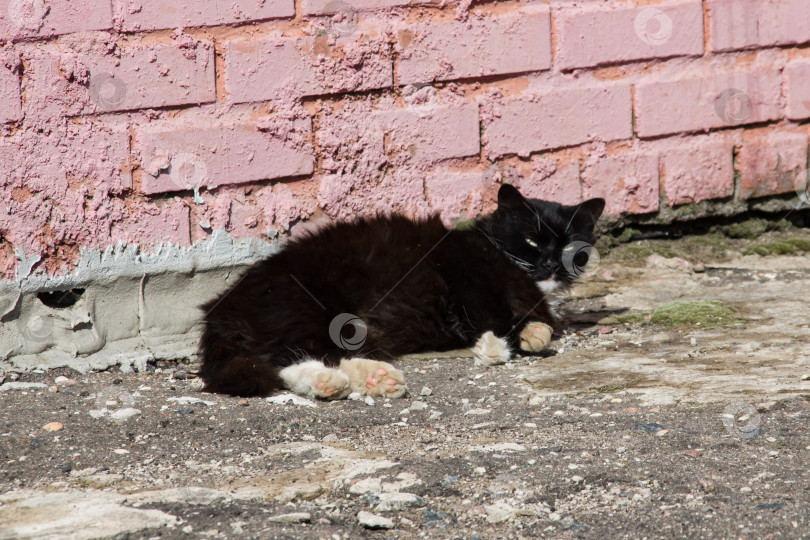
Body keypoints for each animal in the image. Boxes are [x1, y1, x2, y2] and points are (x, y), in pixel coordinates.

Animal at [199, 184, 604, 398]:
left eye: (570, 247)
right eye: (532, 240)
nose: (550, 264)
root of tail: (219, 312)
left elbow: (539, 322)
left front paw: (534, 331)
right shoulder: (465, 279)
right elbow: (494, 318)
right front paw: (497, 346)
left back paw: (364, 380)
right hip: (314, 309)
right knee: (287, 357)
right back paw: (356, 379)